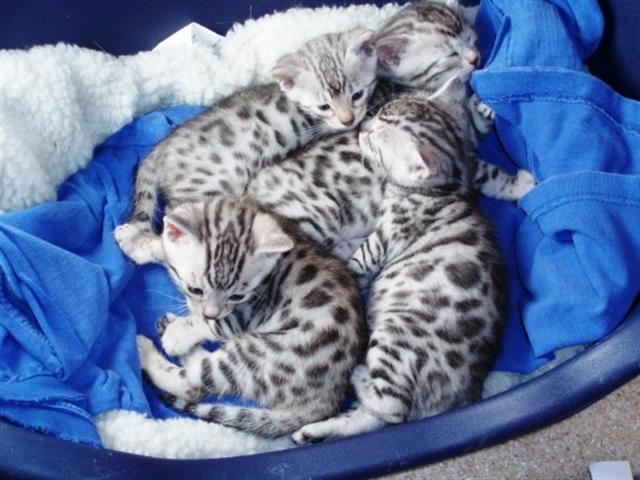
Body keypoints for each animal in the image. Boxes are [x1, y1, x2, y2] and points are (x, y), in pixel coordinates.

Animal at [115, 28, 378, 264]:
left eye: (357, 94)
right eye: (324, 106)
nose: (348, 120)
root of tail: (164, 146)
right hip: (216, 184)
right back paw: (135, 244)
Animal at [135, 196, 364, 438]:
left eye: (237, 296)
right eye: (194, 289)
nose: (209, 312)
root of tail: (328, 399)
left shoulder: (247, 312)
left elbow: (217, 324)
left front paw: (180, 333)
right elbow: (164, 247)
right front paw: (140, 244)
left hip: (262, 353)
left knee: (194, 383)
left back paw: (149, 347)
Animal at [292, 75, 508, 442]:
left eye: (375, 141)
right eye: (379, 114)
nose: (362, 128)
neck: (446, 188)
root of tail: (457, 398)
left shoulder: (383, 240)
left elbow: (354, 262)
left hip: (396, 337)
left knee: (393, 408)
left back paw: (358, 376)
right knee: (375, 419)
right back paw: (315, 432)